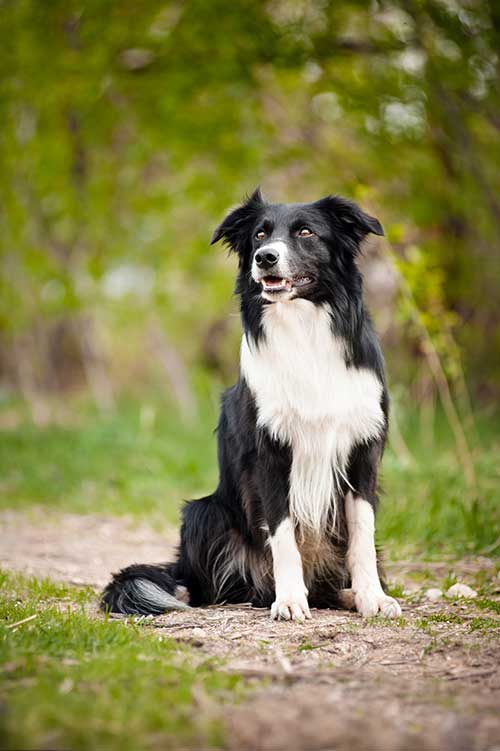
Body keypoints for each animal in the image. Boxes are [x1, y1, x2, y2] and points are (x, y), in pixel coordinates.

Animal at [102, 189, 402, 624]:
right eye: (260, 234)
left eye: (306, 232)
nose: (266, 258)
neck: (305, 333)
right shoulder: (269, 455)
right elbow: (282, 533)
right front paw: (290, 599)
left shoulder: (363, 451)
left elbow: (362, 534)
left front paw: (371, 597)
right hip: (203, 514)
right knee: (223, 587)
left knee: (325, 583)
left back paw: (344, 594)